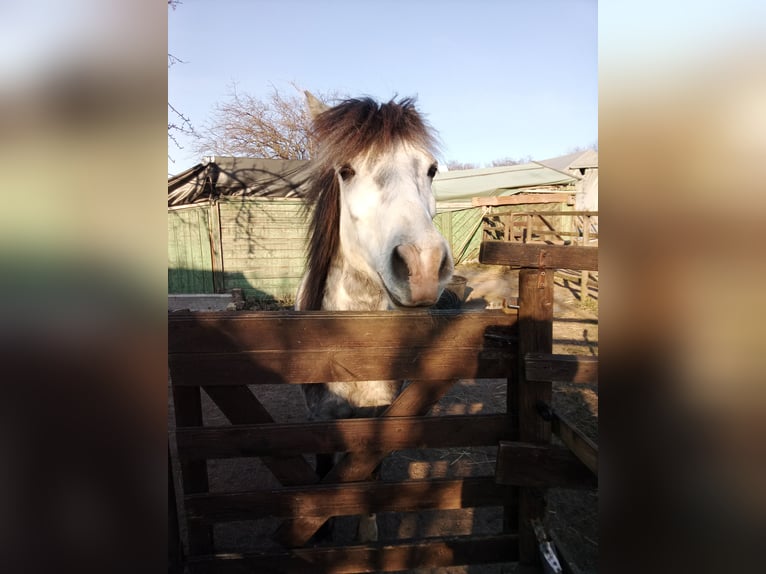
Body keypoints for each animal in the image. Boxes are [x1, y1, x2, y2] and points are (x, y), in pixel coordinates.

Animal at [296, 92, 452, 544]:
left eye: (431, 169)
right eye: (346, 171)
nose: (423, 265)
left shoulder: (381, 417)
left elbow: (370, 476)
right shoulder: (321, 421)